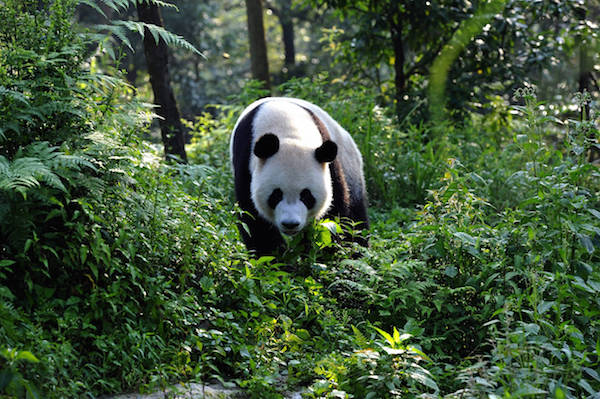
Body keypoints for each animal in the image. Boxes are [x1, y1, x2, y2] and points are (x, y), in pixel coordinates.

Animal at [231, 98, 368, 256]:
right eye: (276, 195)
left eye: (306, 196)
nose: (290, 224)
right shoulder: (246, 164)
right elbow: (254, 219)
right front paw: (275, 256)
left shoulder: (329, 164)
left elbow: (334, 213)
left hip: (350, 165)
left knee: (356, 217)